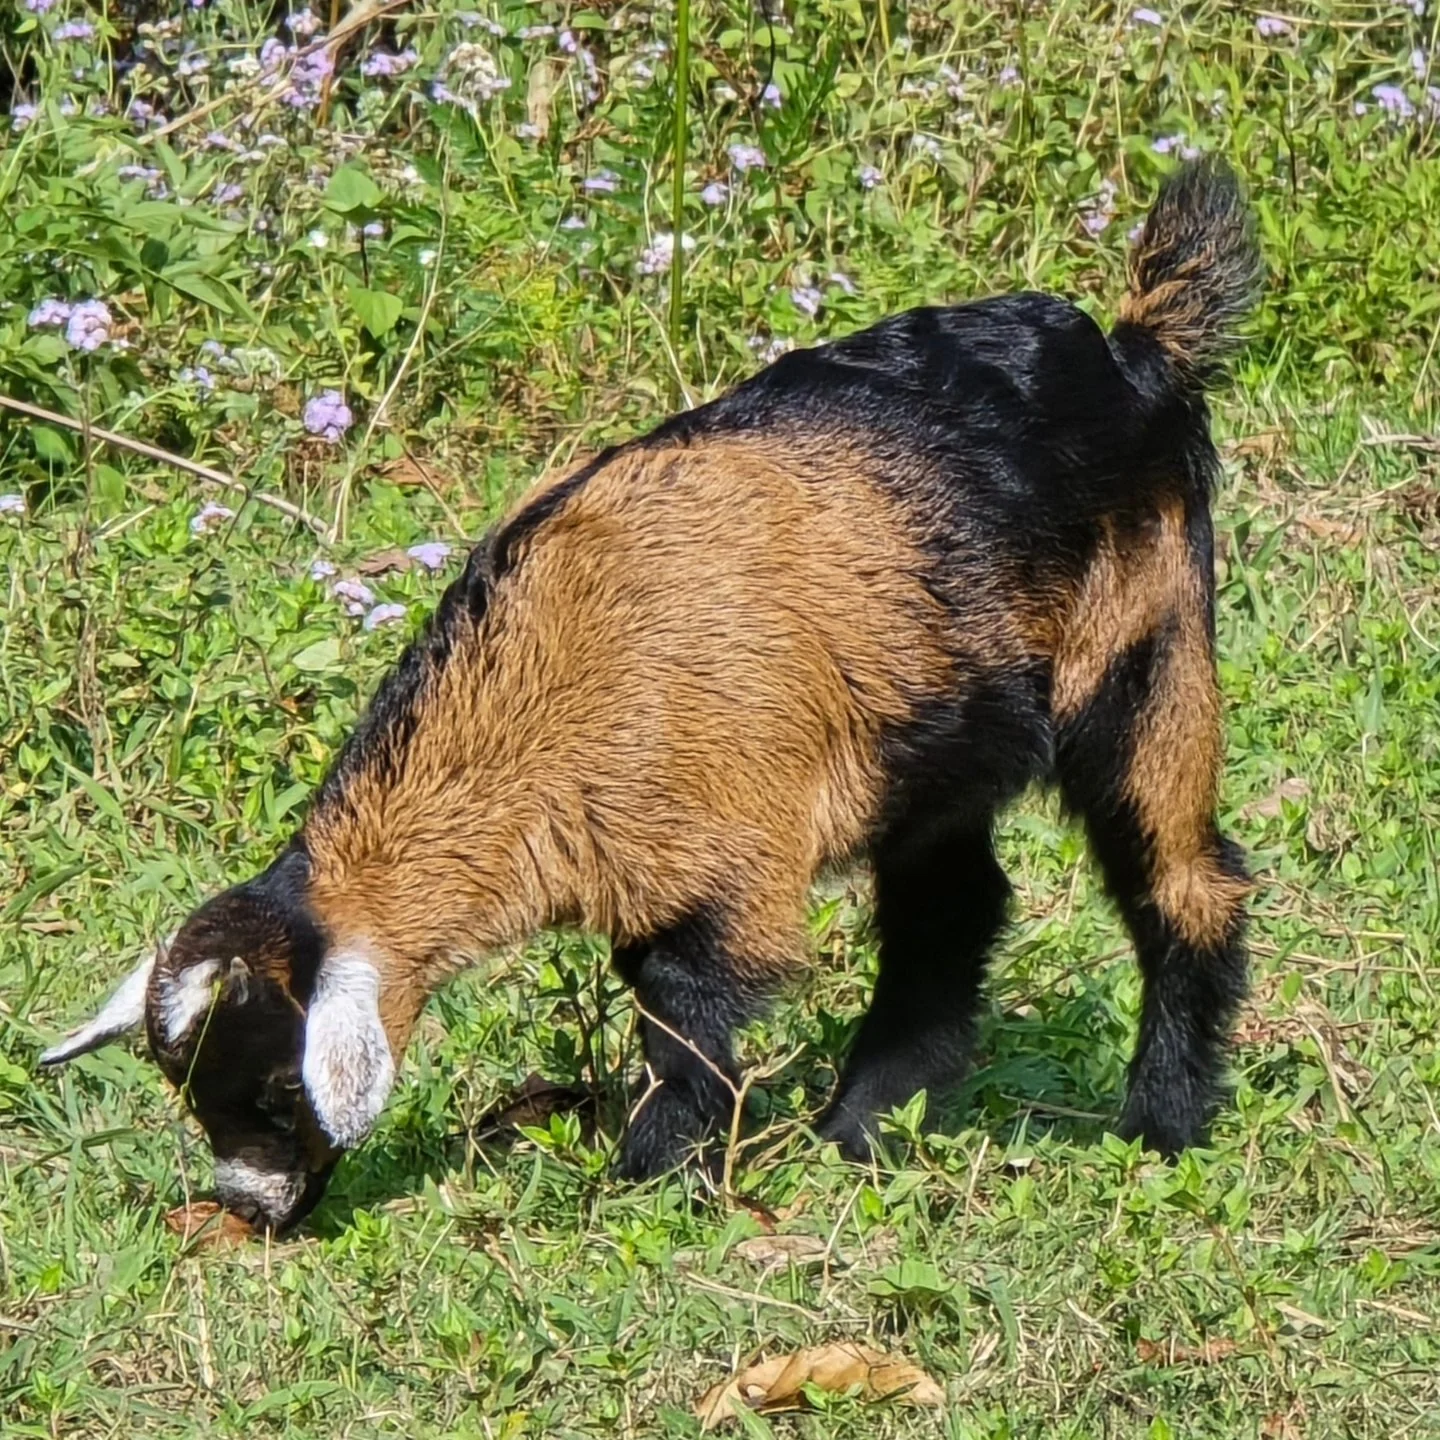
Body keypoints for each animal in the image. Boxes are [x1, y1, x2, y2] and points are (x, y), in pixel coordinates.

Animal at [42, 159, 1261, 1233]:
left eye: (275, 1091)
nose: (253, 1212)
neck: (550, 695)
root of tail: (1137, 350)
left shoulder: (734, 851)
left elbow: (685, 1013)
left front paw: (649, 1175)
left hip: (1148, 651)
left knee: (1183, 881)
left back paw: (1158, 1127)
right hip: (932, 738)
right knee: (952, 907)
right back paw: (861, 1126)